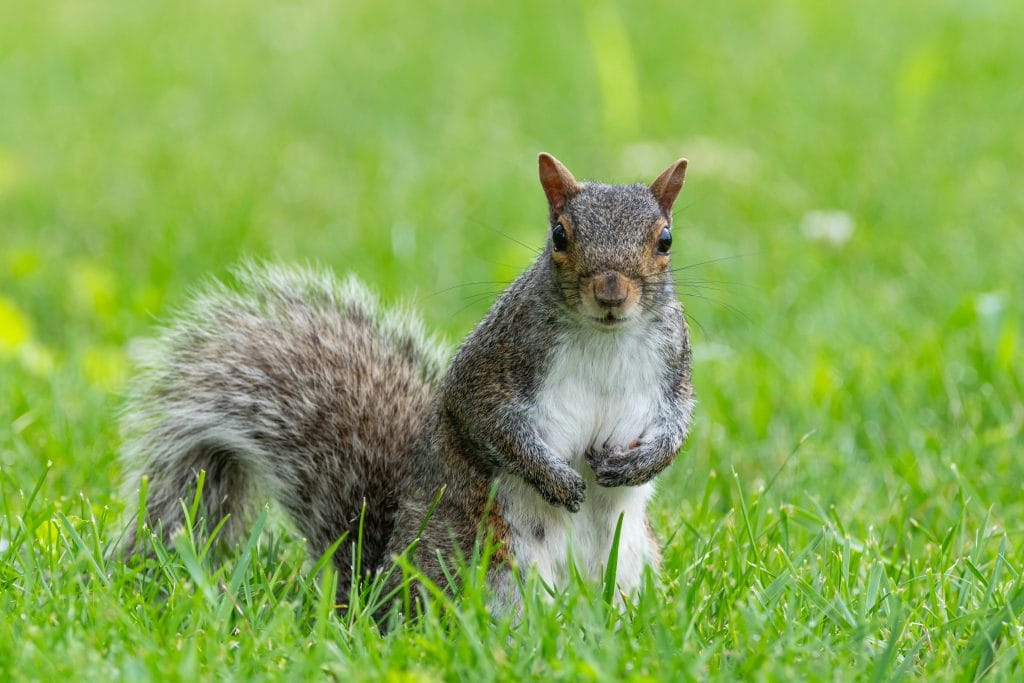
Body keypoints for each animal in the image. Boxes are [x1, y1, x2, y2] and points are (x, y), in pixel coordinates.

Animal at [118, 153, 695, 613]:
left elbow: (678, 423)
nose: (611, 292)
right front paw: (555, 479)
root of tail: (375, 590)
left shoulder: (675, 364)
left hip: (631, 564)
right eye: (560, 235)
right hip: (493, 565)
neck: (604, 337)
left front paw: (642, 463)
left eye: (665, 240)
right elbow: (488, 423)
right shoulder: (493, 364)